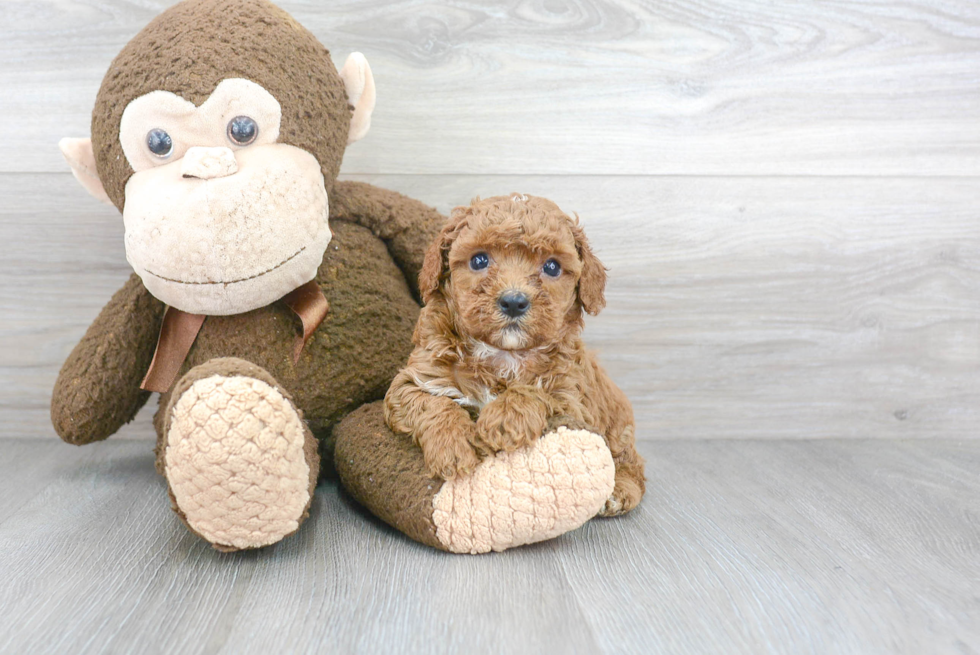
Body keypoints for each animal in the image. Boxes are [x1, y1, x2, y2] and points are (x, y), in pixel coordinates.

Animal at [386, 192, 648, 516]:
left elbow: (536, 393)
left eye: (552, 267)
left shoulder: (572, 399)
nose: (513, 301)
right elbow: (434, 404)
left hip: (619, 427)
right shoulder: (414, 380)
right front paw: (453, 446)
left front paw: (502, 420)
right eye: (479, 260)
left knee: (632, 463)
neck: (503, 354)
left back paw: (621, 489)